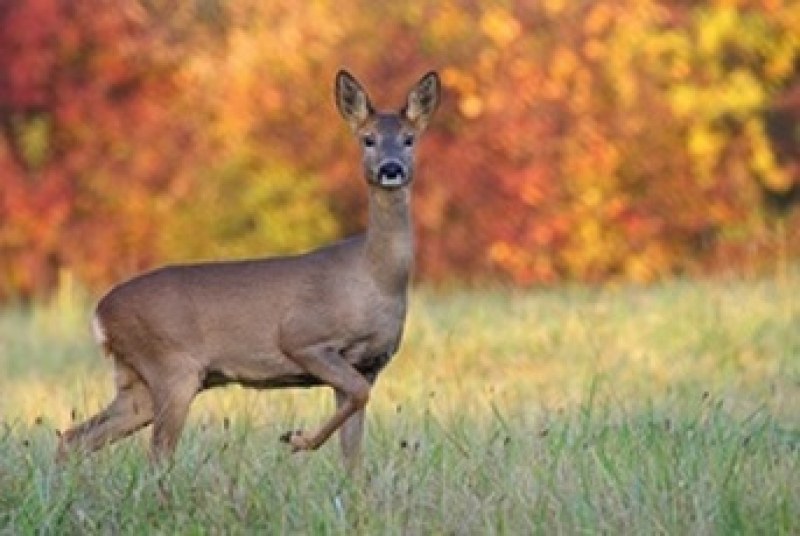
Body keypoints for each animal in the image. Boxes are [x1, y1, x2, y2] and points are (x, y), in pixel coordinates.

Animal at [57, 68, 444, 474]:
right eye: (368, 139)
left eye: (409, 139)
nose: (391, 169)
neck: (376, 279)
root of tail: (100, 314)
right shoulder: (302, 337)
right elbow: (358, 395)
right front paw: (296, 439)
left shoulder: (368, 364)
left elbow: (353, 448)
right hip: (171, 368)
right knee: (156, 457)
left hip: (137, 384)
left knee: (73, 438)